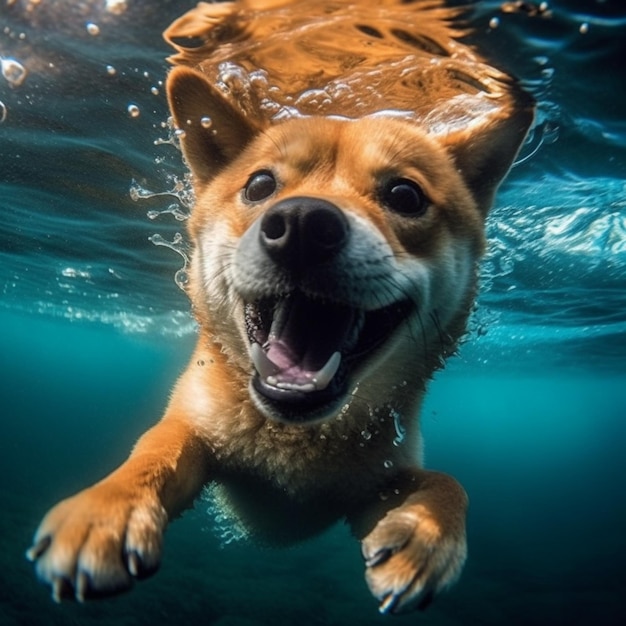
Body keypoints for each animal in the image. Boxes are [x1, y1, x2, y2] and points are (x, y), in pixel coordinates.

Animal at [25, 0, 532, 616]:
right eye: (260, 185)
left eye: (405, 196)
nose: (303, 225)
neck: (294, 443)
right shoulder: (194, 430)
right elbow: (155, 447)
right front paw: (106, 510)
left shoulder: (377, 481)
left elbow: (445, 483)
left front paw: (426, 533)